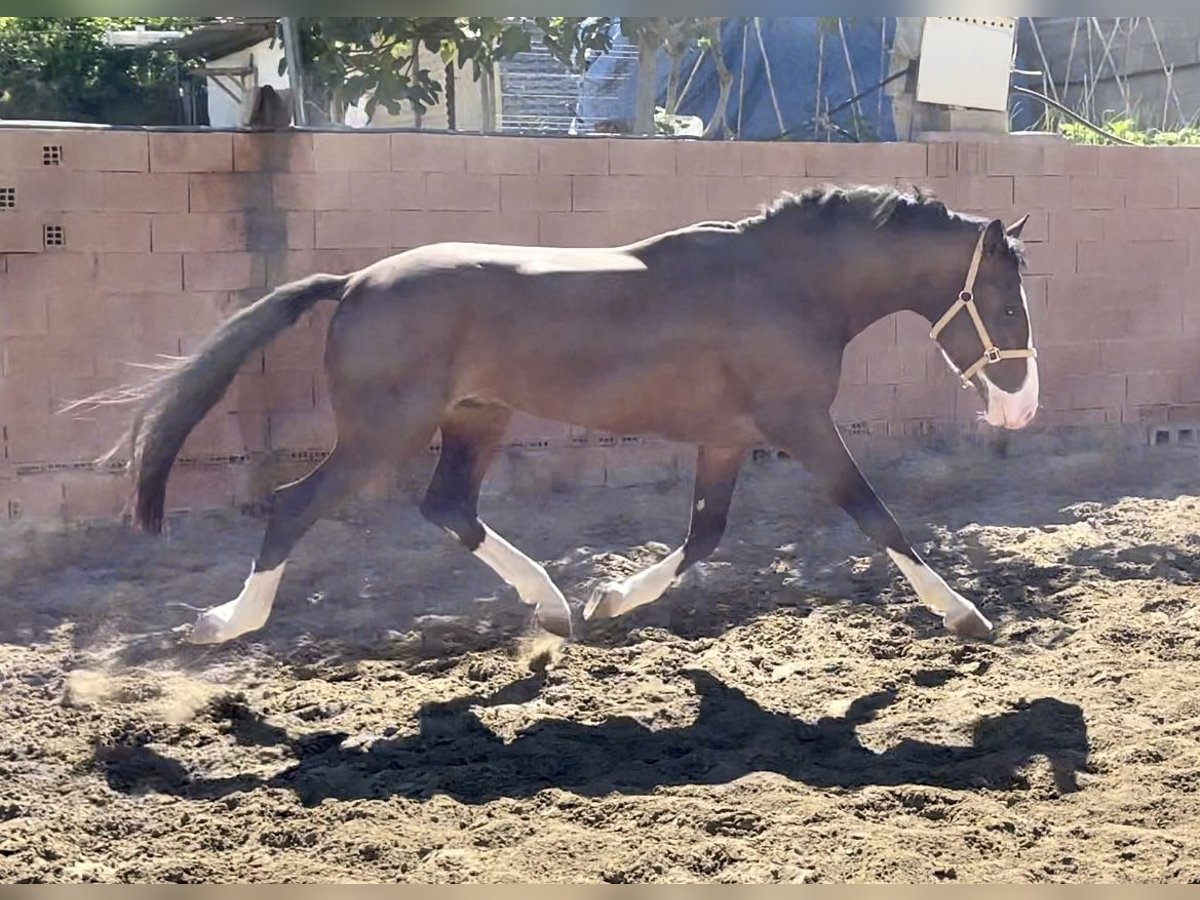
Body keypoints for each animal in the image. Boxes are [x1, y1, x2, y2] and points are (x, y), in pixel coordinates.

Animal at [105, 184, 1041, 648]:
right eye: (1005, 302)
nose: (1021, 405)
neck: (784, 283)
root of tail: (355, 282)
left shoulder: (728, 437)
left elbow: (705, 535)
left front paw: (611, 599)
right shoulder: (800, 424)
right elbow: (877, 516)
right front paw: (966, 615)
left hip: (475, 418)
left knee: (449, 507)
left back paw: (556, 608)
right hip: (382, 433)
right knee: (295, 507)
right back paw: (225, 623)